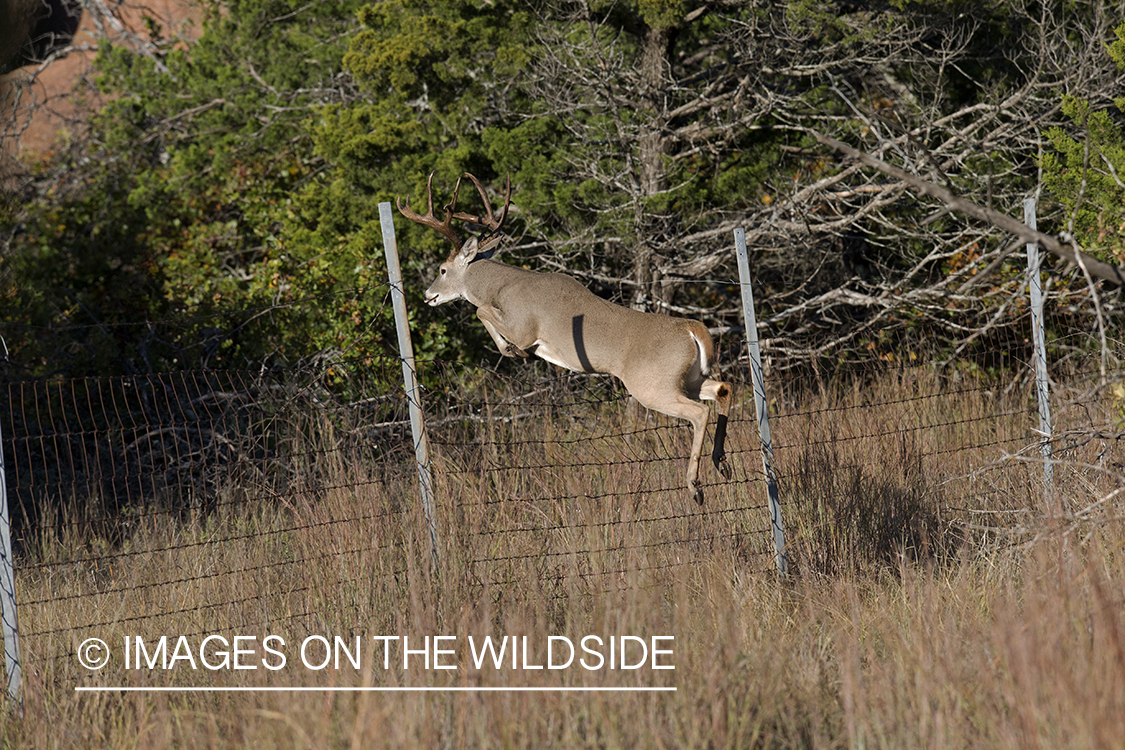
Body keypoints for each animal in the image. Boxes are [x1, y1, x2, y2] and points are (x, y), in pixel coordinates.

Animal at [400, 174, 733, 503]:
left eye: (443, 269)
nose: (428, 295)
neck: (502, 286)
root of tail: (694, 330)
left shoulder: (524, 327)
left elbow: (483, 311)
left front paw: (512, 351)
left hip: (651, 384)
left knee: (699, 412)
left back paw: (695, 485)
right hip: (687, 378)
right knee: (723, 389)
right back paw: (722, 463)